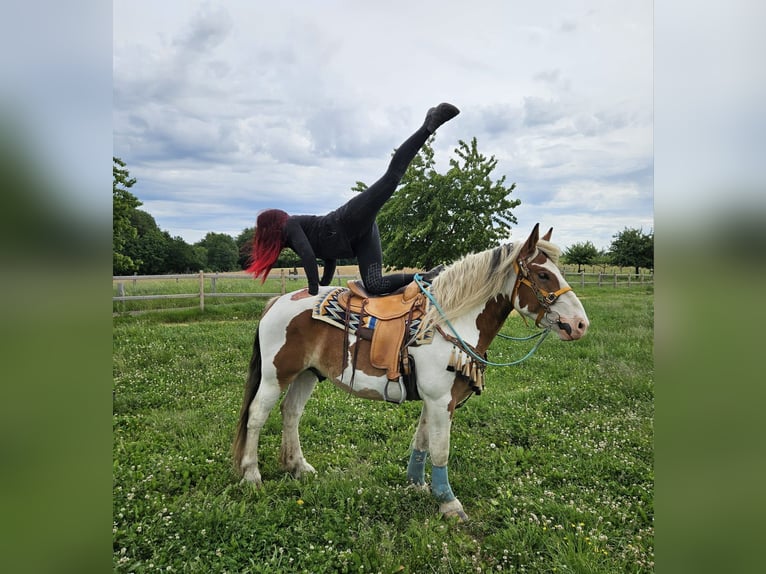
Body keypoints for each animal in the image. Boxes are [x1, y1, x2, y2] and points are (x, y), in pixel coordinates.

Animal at [233, 224, 589, 520]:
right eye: (543, 275)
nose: (579, 325)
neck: (450, 321)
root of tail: (278, 301)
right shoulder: (441, 400)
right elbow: (441, 450)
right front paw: (449, 503)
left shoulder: (436, 400)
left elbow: (422, 442)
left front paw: (417, 485)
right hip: (275, 376)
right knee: (257, 416)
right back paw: (251, 475)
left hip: (306, 374)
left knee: (291, 413)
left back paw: (297, 467)